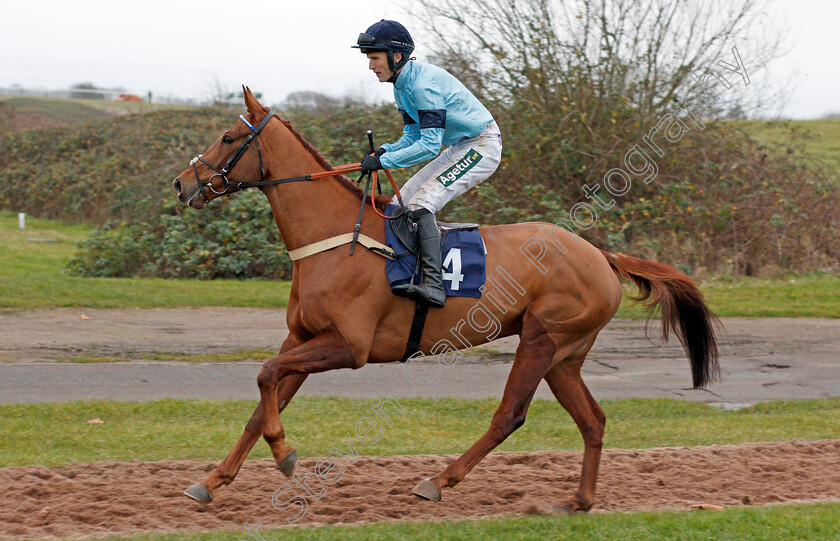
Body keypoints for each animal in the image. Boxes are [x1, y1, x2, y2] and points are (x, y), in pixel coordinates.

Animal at [172, 86, 720, 512]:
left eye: (228, 137)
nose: (182, 184)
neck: (335, 237)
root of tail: (600, 254)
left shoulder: (349, 346)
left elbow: (266, 375)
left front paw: (285, 456)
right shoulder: (302, 337)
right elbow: (263, 398)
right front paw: (210, 482)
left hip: (542, 338)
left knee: (510, 415)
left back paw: (437, 481)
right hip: (565, 355)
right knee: (593, 419)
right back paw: (580, 500)